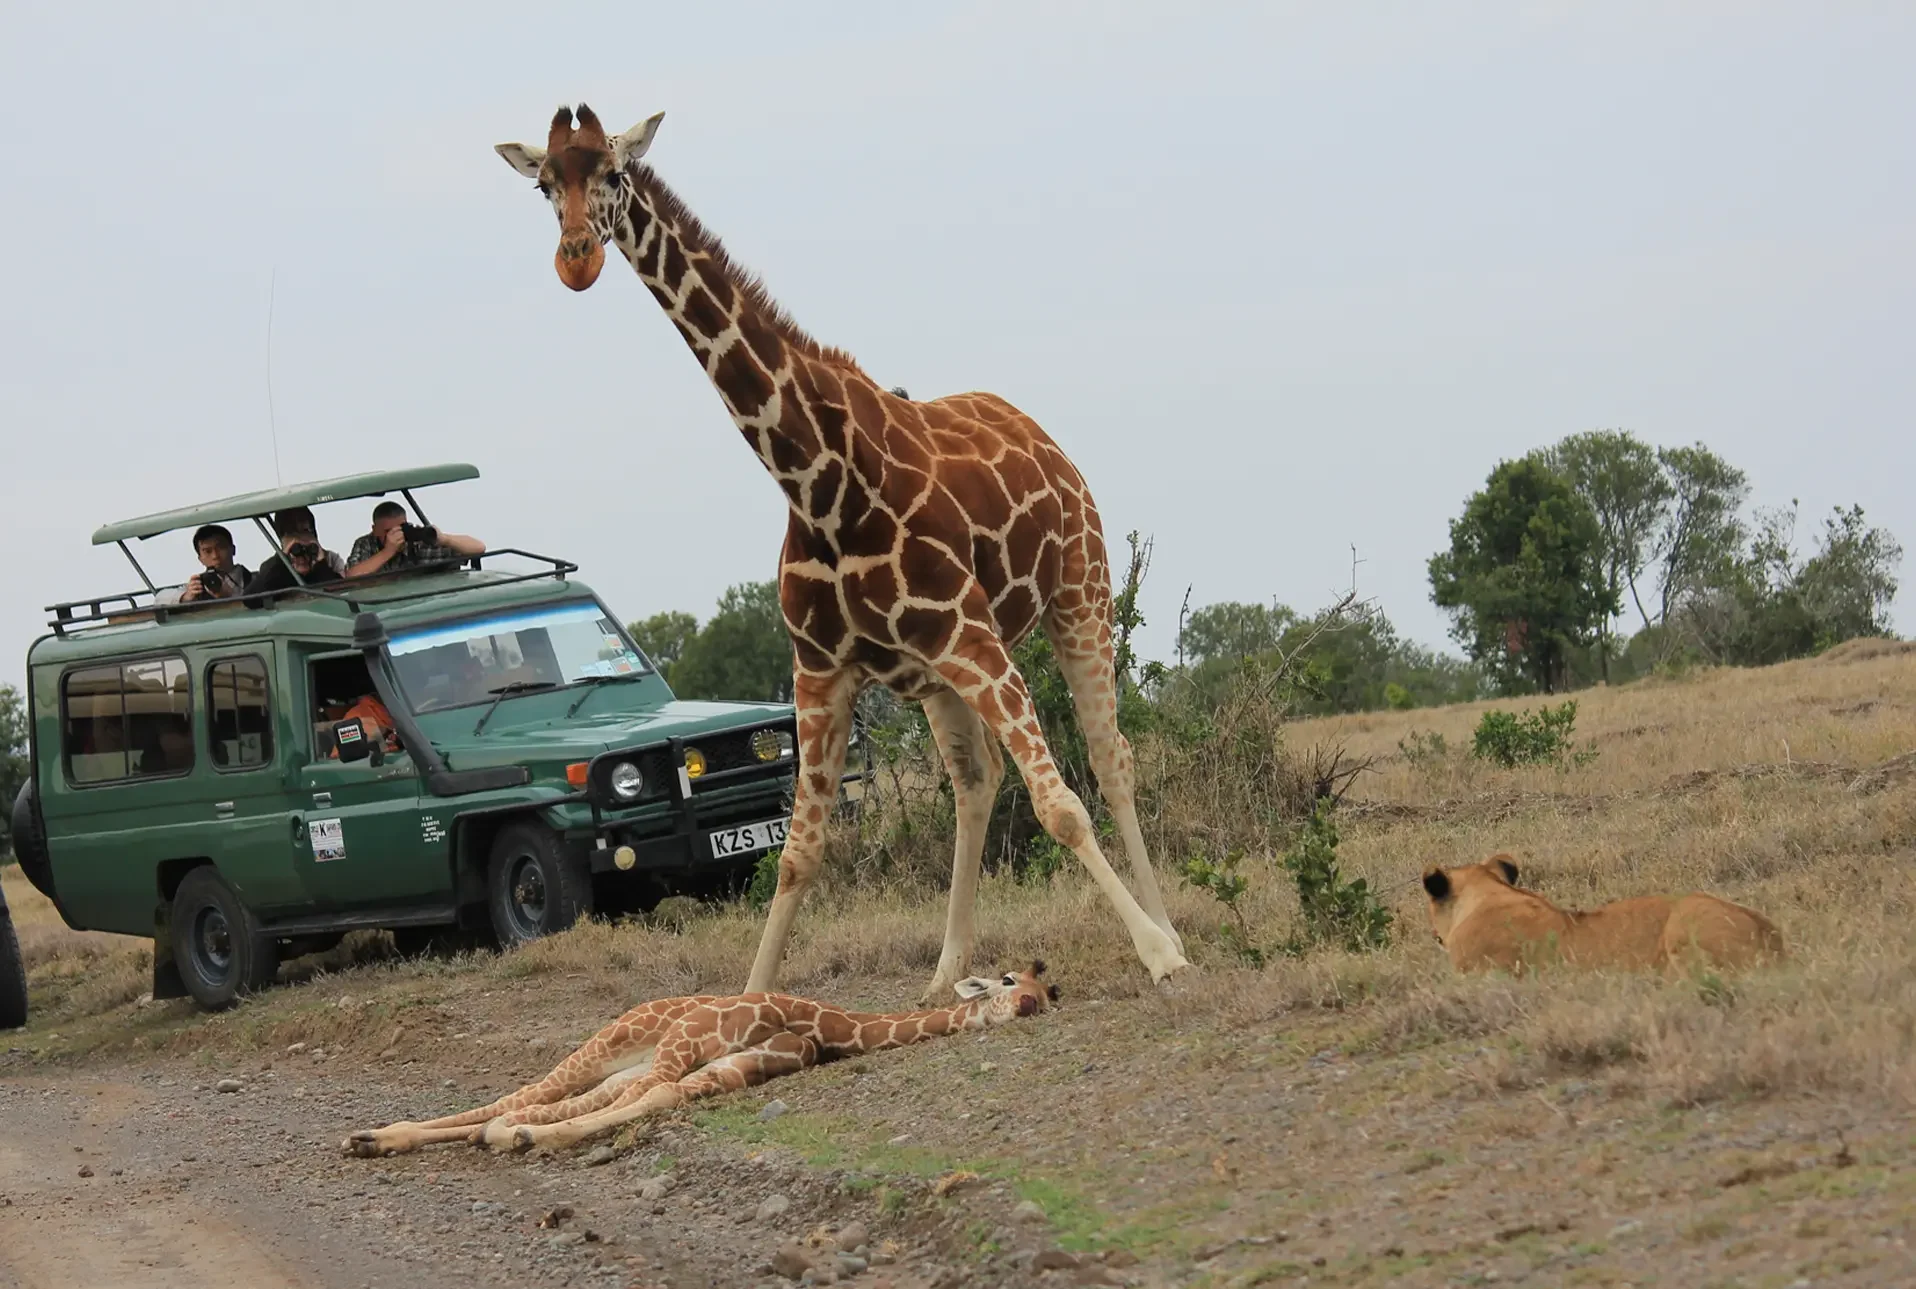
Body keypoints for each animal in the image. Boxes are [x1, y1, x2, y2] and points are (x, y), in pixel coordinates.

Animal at [342, 961, 1059, 1157]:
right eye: (1004, 979)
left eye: (1047, 993)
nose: (1029, 1002)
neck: (821, 1023)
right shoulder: (686, 1048)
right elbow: (651, 1099)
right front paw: (515, 1137)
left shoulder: (730, 1070)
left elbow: (658, 1100)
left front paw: (515, 1138)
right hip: (609, 1045)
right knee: (517, 1093)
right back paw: (371, 1135)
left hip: (621, 1067)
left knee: (553, 1102)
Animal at [494, 105, 1189, 999]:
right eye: (546, 183)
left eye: (613, 172)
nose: (576, 256)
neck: (818, 482)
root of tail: (1042, 435)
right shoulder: (823, 667)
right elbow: (798, 851)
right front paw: (748, 1005)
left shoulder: (971, 634)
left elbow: (1059, 804)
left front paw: (1159, 951)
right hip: (933, 676)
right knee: (976, 782)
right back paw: (945, 973)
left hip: (1080, 590)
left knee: (1108, 757)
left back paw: (1167, 927)